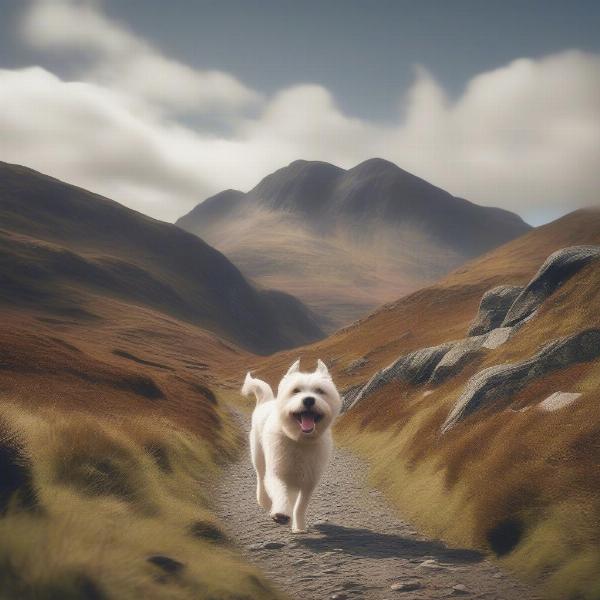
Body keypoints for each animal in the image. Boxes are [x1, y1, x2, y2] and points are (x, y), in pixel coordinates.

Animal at [241, 358, 340, 532]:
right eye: (296, 390)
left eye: (320, 391)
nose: (308, 400)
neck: (299, 440)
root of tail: (266, 402)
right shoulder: (277, 473)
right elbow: (281, 492)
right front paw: (281, 513)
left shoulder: (309, 482)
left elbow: (300, 506)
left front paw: (299, 527)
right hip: (258, 456)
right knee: (260, 478)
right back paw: (264, 500)